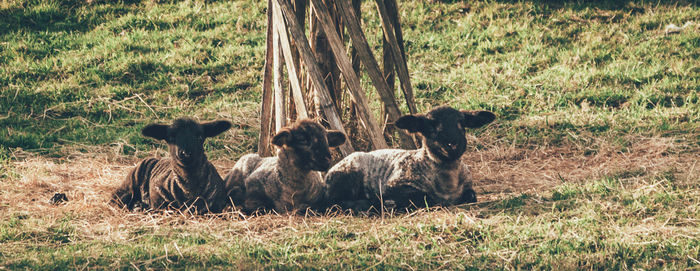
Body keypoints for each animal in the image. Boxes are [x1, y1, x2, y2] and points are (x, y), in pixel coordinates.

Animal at [326, 105, 494, 211]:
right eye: (430, 127)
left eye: (461, 124)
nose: (452, 144)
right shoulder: (395, 185)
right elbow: (427, 198)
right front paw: (387, 202)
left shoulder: (468, 188)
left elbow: (471, 196)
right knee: (336, 203)